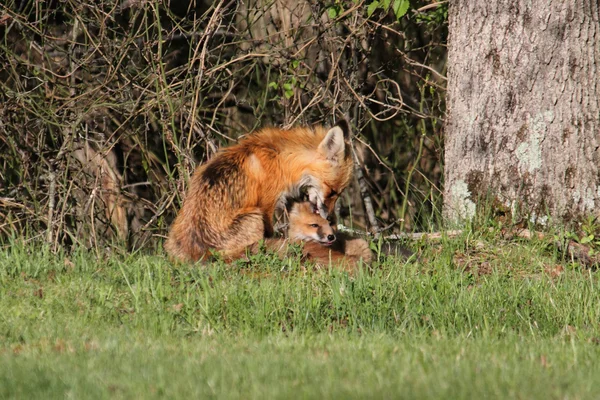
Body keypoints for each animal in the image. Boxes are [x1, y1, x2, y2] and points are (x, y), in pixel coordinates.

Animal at [164, 121, 354, 262]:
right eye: (333, 192)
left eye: (338, 193)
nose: (329, 218)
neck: (282, 159)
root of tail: (196, 254)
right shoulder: (267, 204)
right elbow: (270, 233)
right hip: (254, 216)